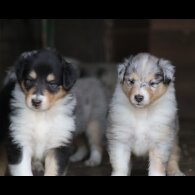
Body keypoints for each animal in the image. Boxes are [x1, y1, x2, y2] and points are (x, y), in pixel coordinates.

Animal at [0, 48, 77, 177]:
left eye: (52, 84)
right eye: (29, 81)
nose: (36, 101)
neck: (42, 115)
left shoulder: (59, 143)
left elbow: (53, 170)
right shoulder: (19, 140)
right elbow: (23, 171)